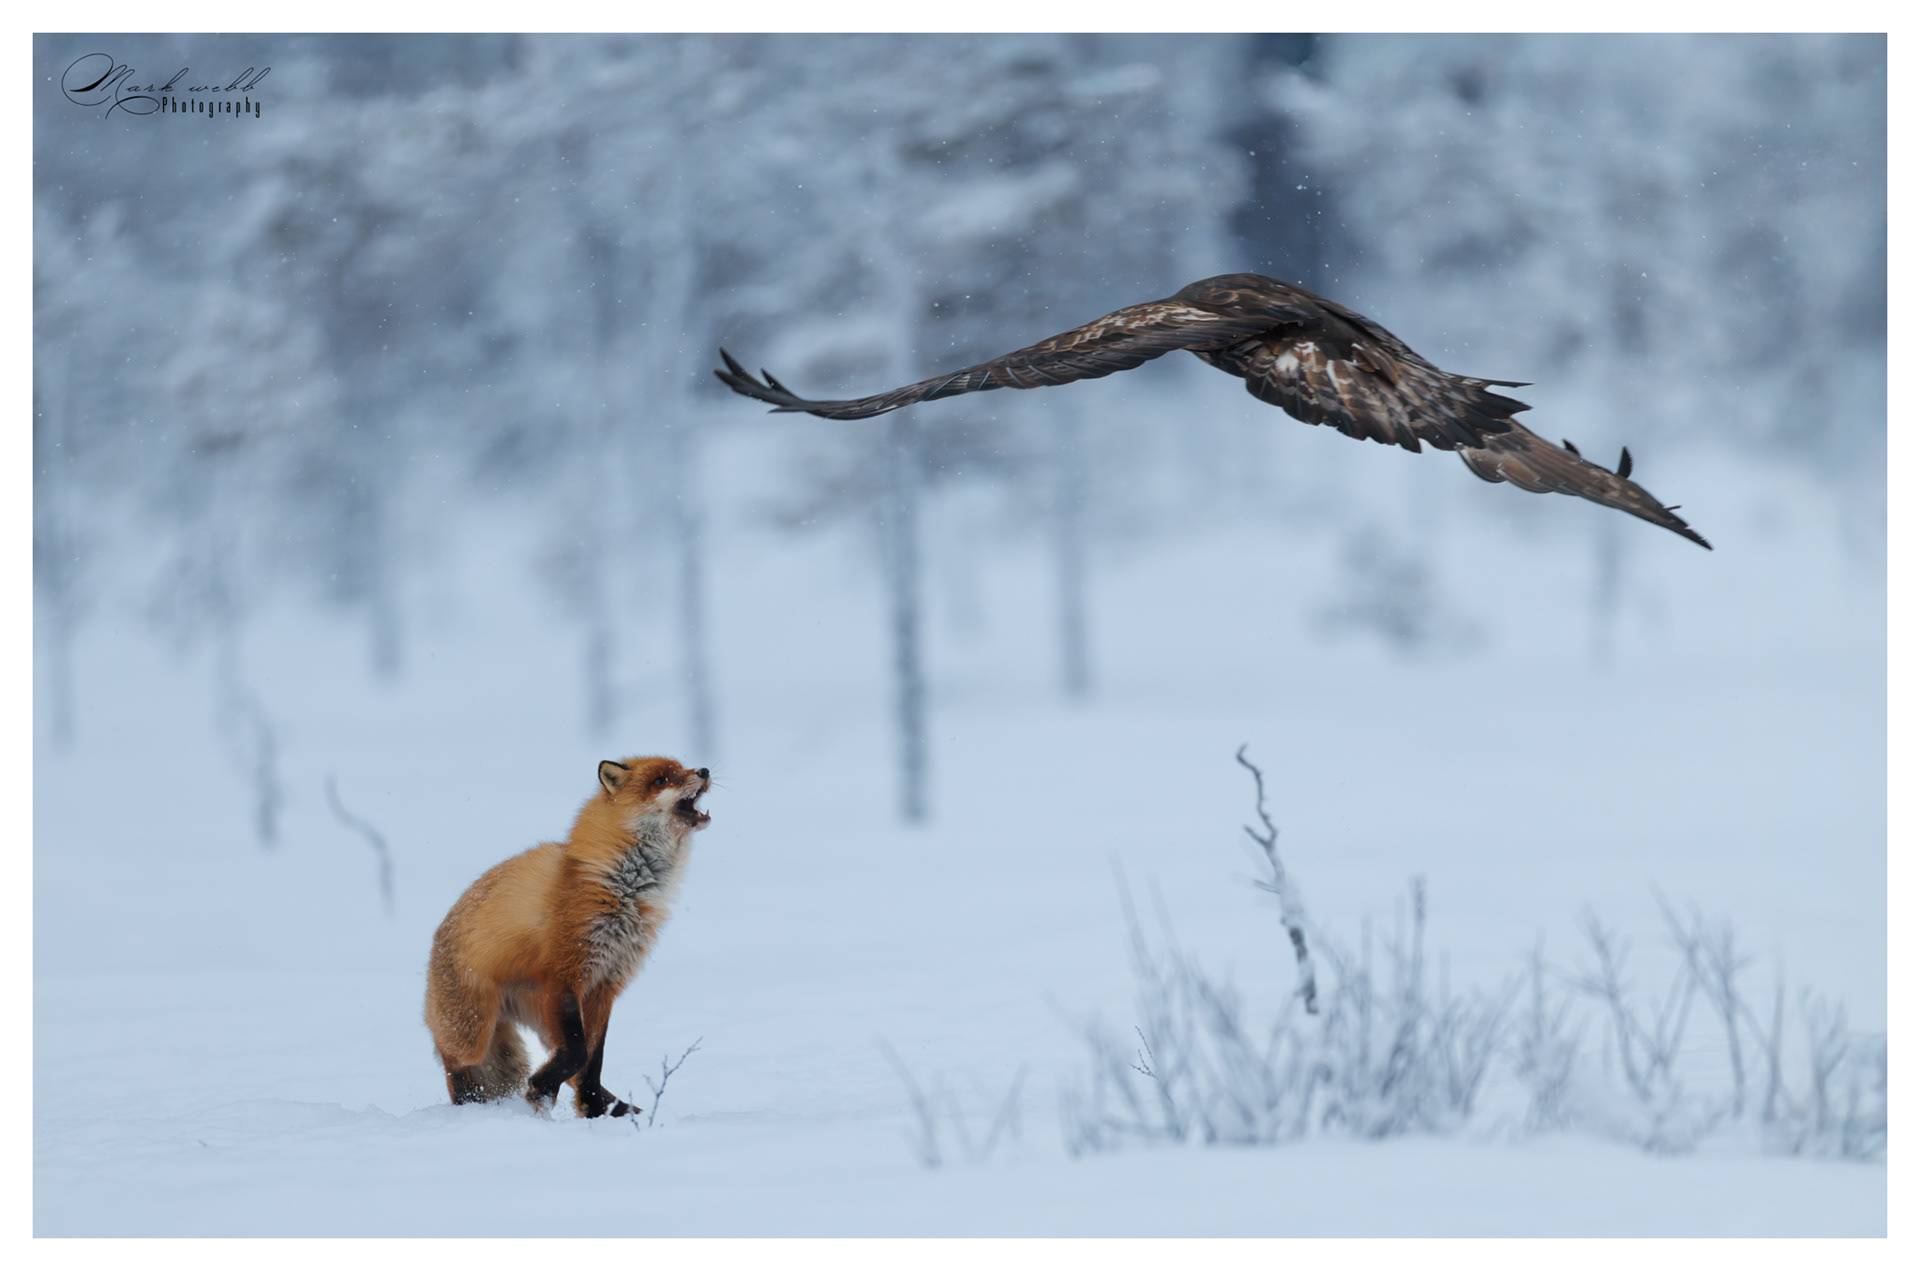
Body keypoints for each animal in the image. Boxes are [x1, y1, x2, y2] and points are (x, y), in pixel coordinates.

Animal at [424, 755, 712, 1117]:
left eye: (683, 769)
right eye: (661, 780)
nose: (704, 771)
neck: (623, 889)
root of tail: (438, 935)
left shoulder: (604, 987)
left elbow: (591, 1062)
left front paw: (591, 1112)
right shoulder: (563, 977)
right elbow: (578, 1054)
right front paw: (541, 1089)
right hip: (473, 1031)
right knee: (454, 1059)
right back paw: (466, 1106)